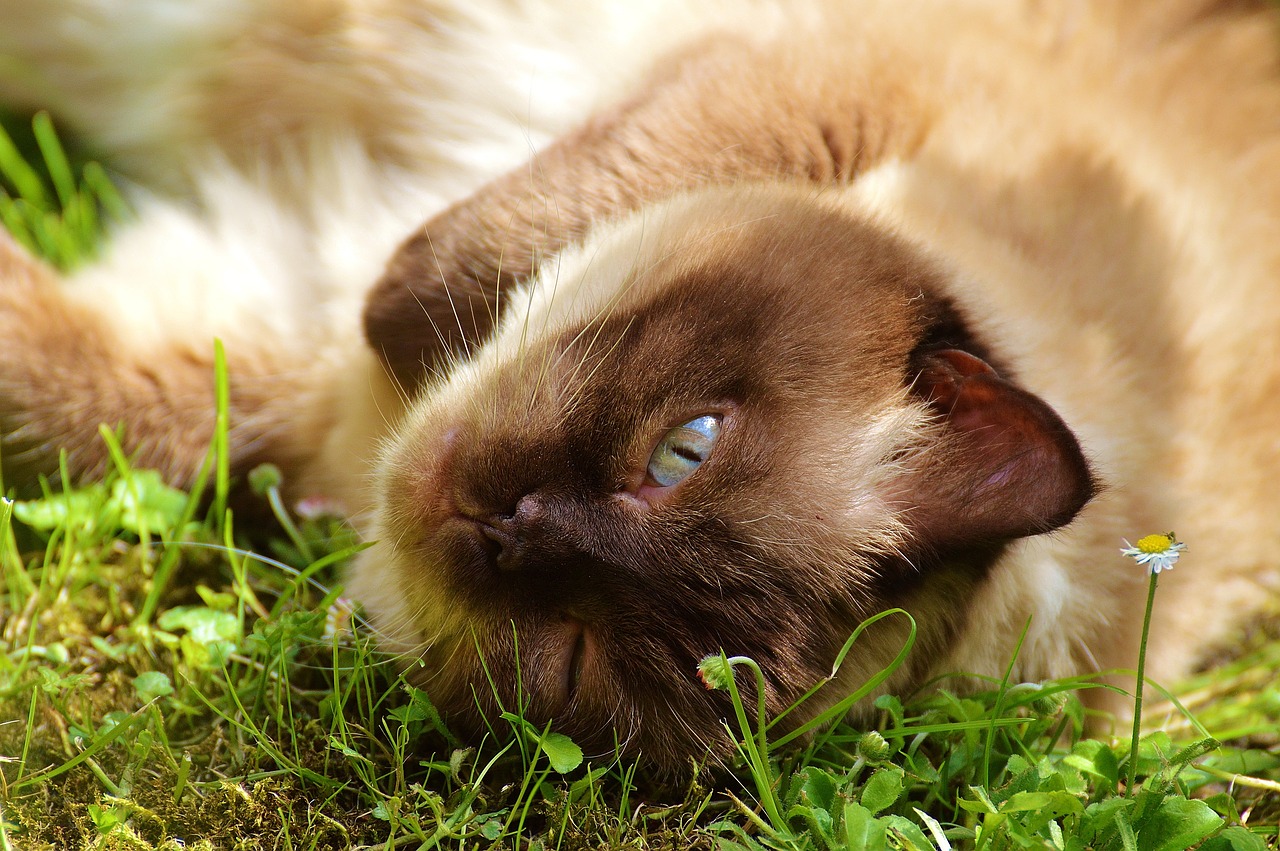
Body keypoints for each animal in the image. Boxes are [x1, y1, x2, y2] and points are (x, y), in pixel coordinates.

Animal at [2, 0, 1280, 767]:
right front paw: (413, 308)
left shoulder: (261, 322)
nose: (507, 527)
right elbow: (438, 272)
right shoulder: (827, 72)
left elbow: (79, 394)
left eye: (576, 653)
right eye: (686, 447)